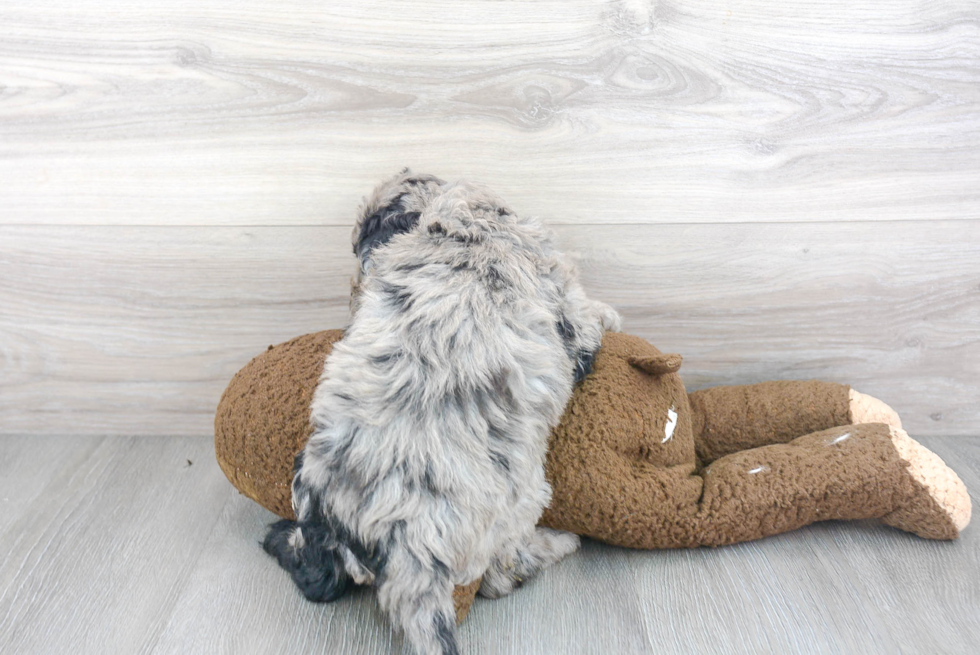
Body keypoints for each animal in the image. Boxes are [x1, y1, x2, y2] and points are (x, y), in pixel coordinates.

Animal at [262, 170, 620, 655]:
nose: (353, 297)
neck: (468, 223)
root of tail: (405, 540)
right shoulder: (567, 302)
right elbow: (588, 322)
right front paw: (610, 316)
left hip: (312, 485)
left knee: (318, 574)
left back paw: (278, 539)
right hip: (520, 505)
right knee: (502, 574)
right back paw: (560, 542)